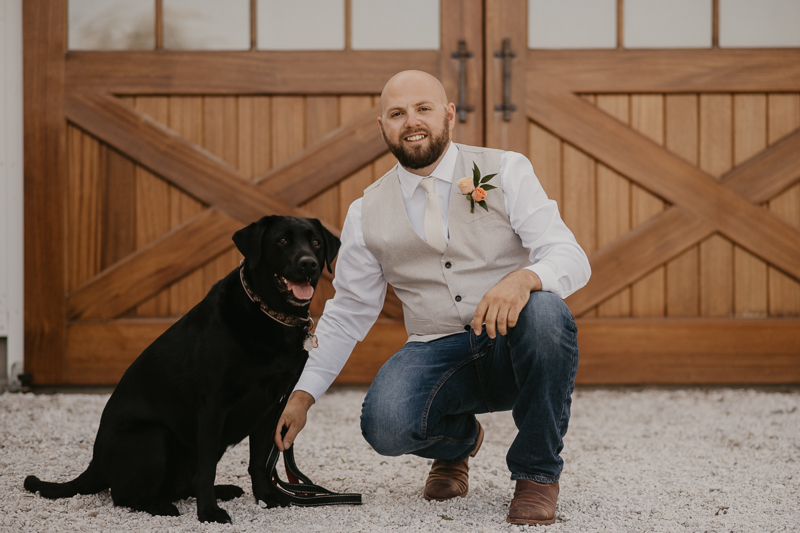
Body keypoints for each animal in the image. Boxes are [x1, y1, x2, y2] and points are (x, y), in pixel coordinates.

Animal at [23, 214, 340, 520]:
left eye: (315, 242)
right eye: (282, 240)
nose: (309, 264)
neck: (269, 315)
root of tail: (95, 463)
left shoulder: (272, 406)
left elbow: (259, 462)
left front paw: (267, 497)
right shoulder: (213, 405)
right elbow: (208, 468)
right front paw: (209, 513)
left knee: (181, 484)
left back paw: (221, 490)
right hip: (153, 437)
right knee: (123, 495)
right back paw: (161, 507)